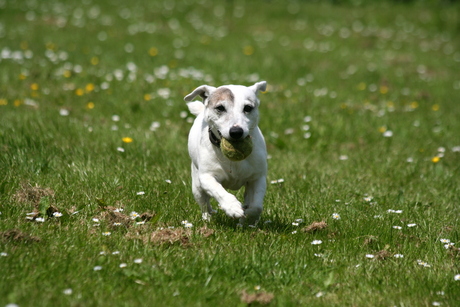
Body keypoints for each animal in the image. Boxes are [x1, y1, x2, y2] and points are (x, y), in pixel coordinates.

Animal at [184, 81, 268, 226]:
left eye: (248, 108)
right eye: (220, 108)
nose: (236, 132)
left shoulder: (258, 177)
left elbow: (257, 206)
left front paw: (247, 217)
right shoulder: (206, 177)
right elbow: (218, 191)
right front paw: (232, 207)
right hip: (196, 186)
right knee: (204, 204)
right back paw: (208, 218)